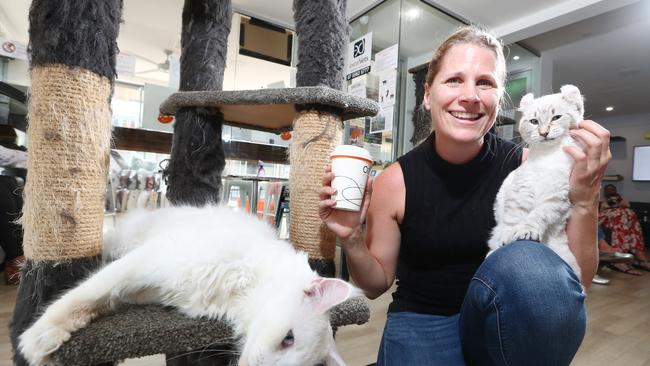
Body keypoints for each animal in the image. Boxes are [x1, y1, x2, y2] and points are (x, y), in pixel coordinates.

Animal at [20, 206, 354, 366]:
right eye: (288, 339)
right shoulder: (149, 259)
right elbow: (86, 292)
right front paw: (38, 338)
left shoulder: (148, 284)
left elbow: (104, 299)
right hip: (125, 239)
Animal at [486, 83, 584, 278]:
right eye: (534, 121)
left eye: (556, 117)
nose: (544, 133)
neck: (547, 156)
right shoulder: (520, 190)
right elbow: (514, 216)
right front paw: (509, 235)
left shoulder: (556, 196)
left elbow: (538, 215)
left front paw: (527, 231)